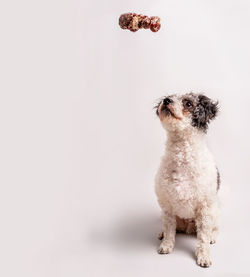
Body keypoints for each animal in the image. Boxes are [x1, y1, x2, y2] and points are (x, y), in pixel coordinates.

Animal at [154, 92, 221, 268]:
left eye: (188, 103)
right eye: (169, 96)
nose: (166, 101)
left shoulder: (205, 209)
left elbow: (203, 238)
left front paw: (203, 256)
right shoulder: (167, 206)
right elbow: (169, 230)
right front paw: (166, 245)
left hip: (214, 212)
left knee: (214, 228)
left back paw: (213, 237)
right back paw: (162, 233)